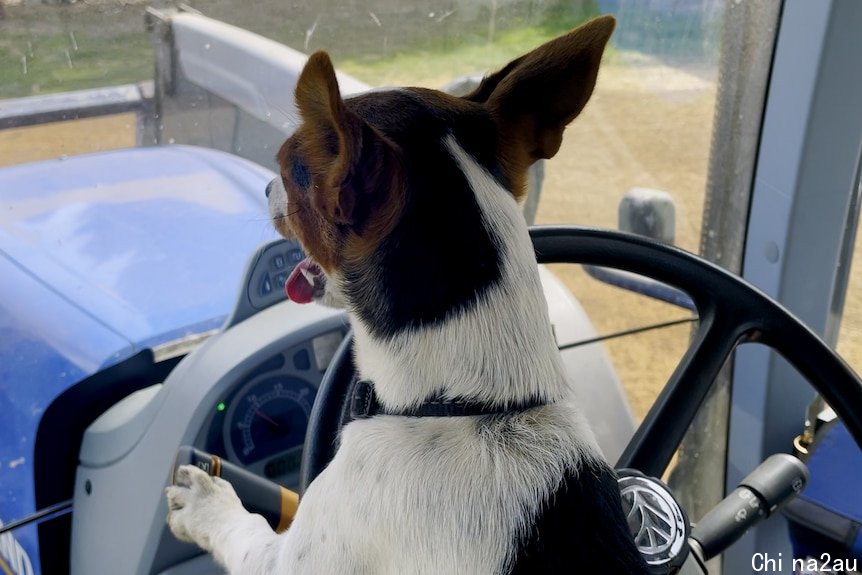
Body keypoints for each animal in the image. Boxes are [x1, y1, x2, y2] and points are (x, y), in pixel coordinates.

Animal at [167, 15, 648, 572]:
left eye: (286, 170)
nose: (266, 187)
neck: (468, 405)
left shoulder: (298, 554)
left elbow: (246, 533)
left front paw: (207, 501)